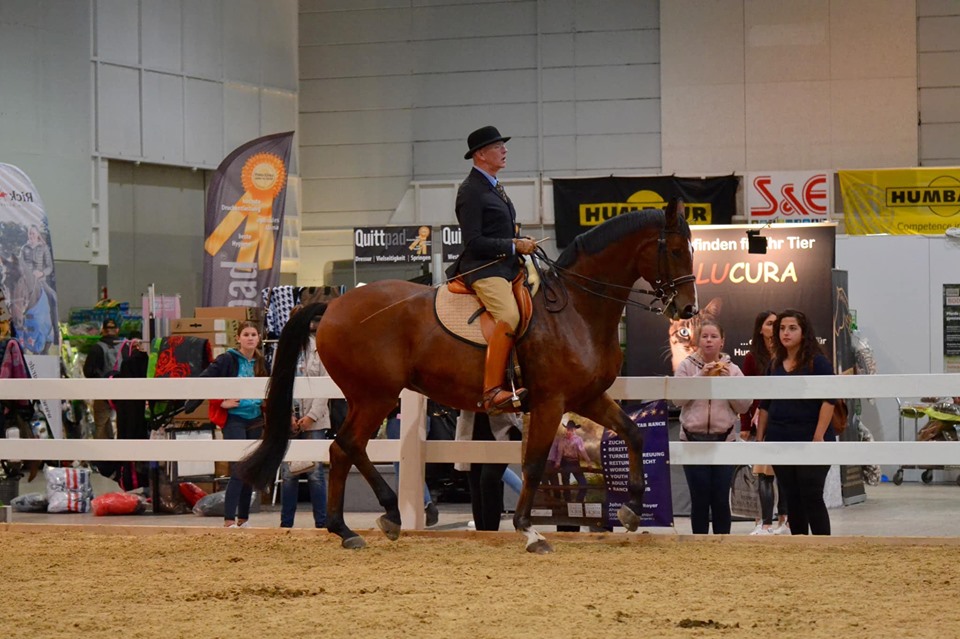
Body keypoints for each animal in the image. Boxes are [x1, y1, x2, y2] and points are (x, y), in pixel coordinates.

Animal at [242, 200, 696, 556]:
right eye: (675, 250)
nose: (687, 309)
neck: (576, 310)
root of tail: (332, 305)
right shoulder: (551, 402)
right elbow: (533, 463)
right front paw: (530, 531)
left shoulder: (586, 398)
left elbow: (633, 435)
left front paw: (632, 509)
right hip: (375, 397)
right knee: (347, 446)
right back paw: (369, 520)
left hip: (367, 398)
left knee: (342, 450)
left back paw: (357, 526)